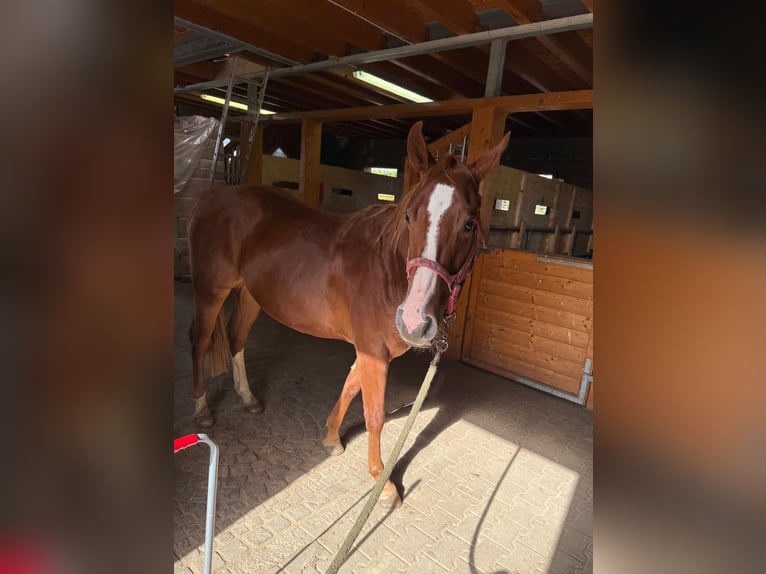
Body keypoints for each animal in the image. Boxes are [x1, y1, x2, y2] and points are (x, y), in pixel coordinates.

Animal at [187, 121, 509, 508]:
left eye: (469, 224)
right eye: (409, 215)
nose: (414, 320)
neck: (386, 271)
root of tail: (212, 197)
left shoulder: (372, 351)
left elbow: (350, 384)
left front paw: (331, 437)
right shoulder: (374, 352)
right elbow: (375, 415)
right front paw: (383, 483)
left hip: (251, 295)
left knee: (236, 338)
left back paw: (248, 399)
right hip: (210, 291)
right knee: (200, 341)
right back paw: (202, 410)